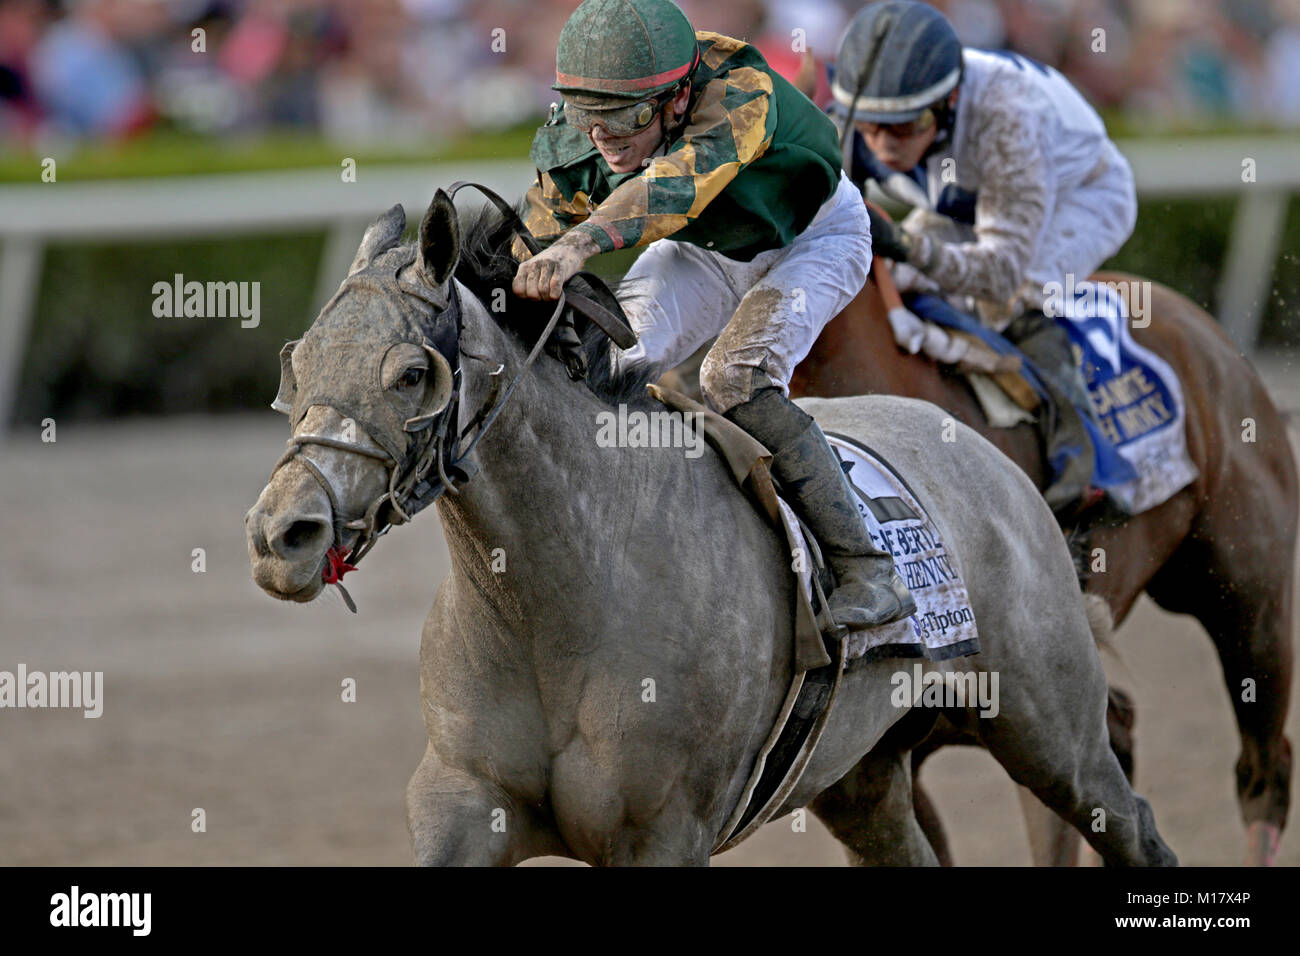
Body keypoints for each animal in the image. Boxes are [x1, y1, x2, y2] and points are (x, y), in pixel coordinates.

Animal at [244, 192, 1180, 868]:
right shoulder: (463, 804)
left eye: (411, 374)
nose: (282, 533)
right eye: (299, 362)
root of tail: (992, 460)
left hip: (1050, 729)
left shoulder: (660, 834)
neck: (555, 603)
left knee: (1131, 825)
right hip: (862, 775)